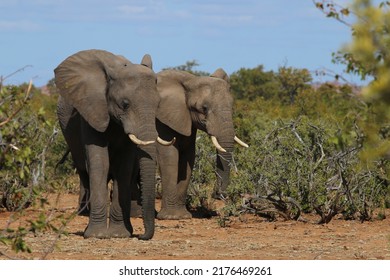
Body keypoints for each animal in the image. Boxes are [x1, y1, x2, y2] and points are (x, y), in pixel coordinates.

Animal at [53, 49, 166, 240]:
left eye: (158, 104)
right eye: (125, 104)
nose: (142, 236)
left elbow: (123, 167)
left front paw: (119, 234)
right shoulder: (92, 111)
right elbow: (100, 164)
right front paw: (97, 235)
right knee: (84, 171)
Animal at [155, 69, 247, 220]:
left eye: (231, 106)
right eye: (204, 108)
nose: (217, 194)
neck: (189, 80)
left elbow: (188, 157)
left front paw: (183, 216)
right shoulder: (162, 119)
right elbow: (169, 155)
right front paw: (170, 217)